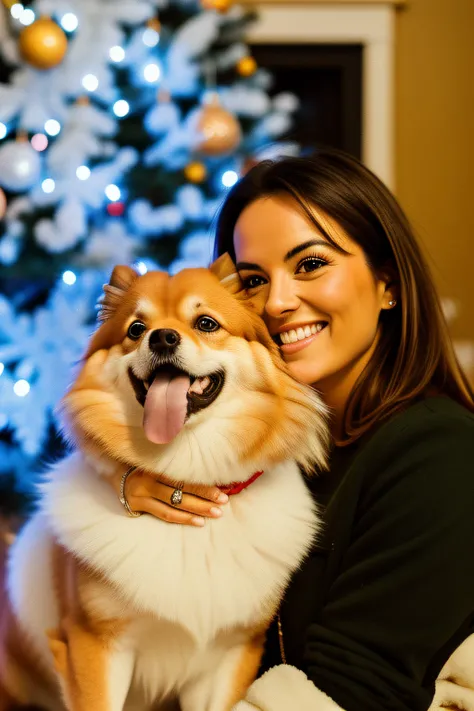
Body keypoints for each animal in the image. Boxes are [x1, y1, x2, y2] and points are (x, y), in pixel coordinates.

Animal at [0, 256, 328, 711]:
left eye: (206, 323)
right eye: (136, 329)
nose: (162, 338)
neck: (187, 471)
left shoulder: (232, 653)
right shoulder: (93, 647)